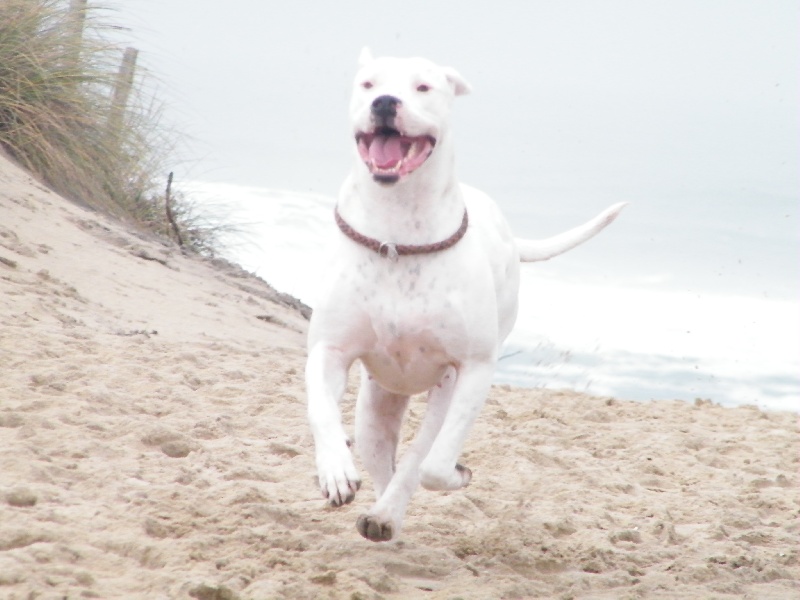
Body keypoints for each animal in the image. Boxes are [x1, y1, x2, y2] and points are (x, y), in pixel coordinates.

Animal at [306, 49, 624, 540]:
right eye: (368, 84)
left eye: (423, 87)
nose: (384, 102)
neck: (398, 235)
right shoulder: (328, 349)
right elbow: (321, 412)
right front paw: (335, 472)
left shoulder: (473, 369)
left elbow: (433, 465)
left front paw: (456, 474)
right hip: (376, 404)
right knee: (381, 457)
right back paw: (381, 512)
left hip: (446, 389)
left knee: (419, 457)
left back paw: (389, 513)